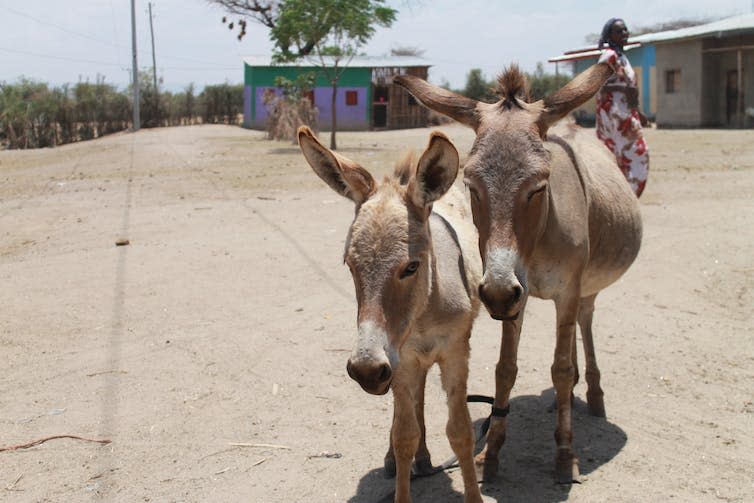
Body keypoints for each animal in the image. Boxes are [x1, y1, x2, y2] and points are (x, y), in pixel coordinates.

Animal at [296, 127, 482, 503]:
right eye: (349, 265)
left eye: (411, 266)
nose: (366, 370)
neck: (424, 313)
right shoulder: (402, 357)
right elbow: (403, 435)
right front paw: (402, 467)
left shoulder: (456, 352)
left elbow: (461, 432)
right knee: (409, 405)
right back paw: (406, 460)